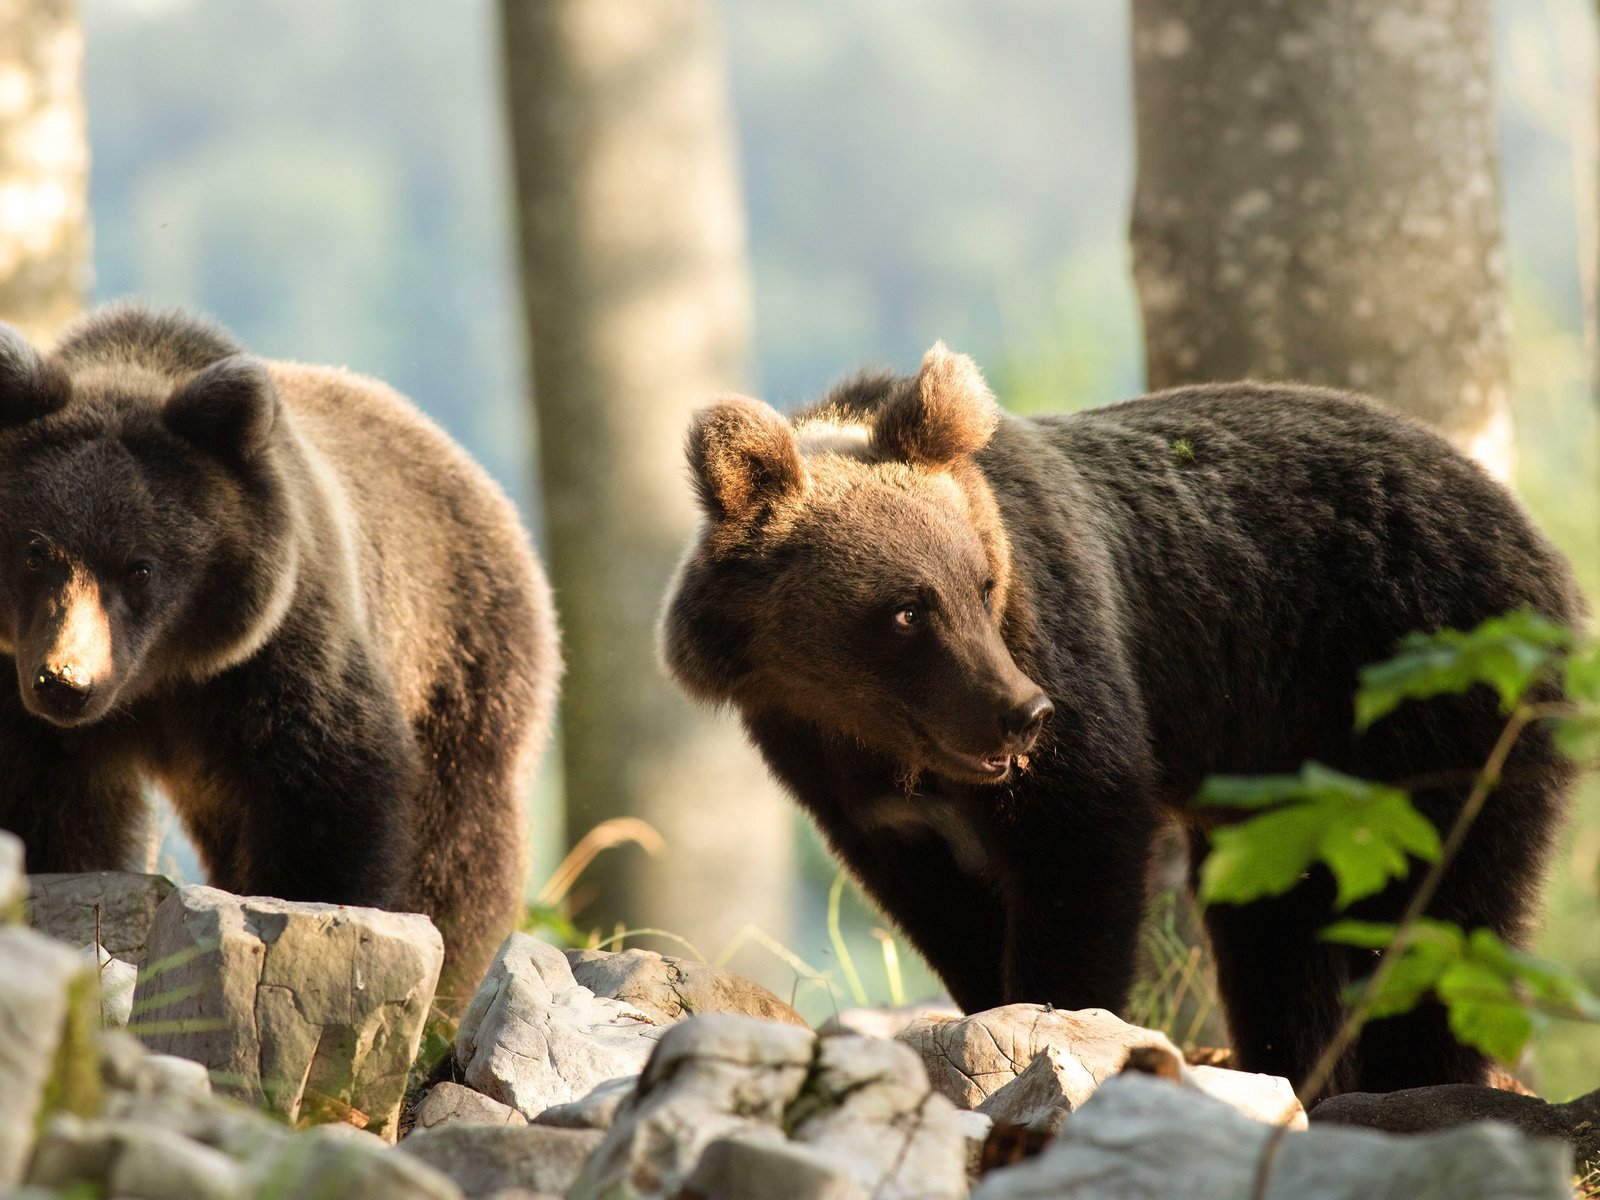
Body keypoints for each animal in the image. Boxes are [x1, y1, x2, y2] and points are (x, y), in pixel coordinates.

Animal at [659, 345, 1574, 1100]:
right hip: (1291, 793)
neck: (877, 738)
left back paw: (1415, 1082)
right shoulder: (835, 771)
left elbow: (1081, 849)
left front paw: (1054, 1021)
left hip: (1431, 687)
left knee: (1442, 904)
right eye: (907, 610)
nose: (1023, 715)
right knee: (1280, 927)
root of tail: (1534, 532)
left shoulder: (1065, 649)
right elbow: (942, 909)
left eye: (981, 584)